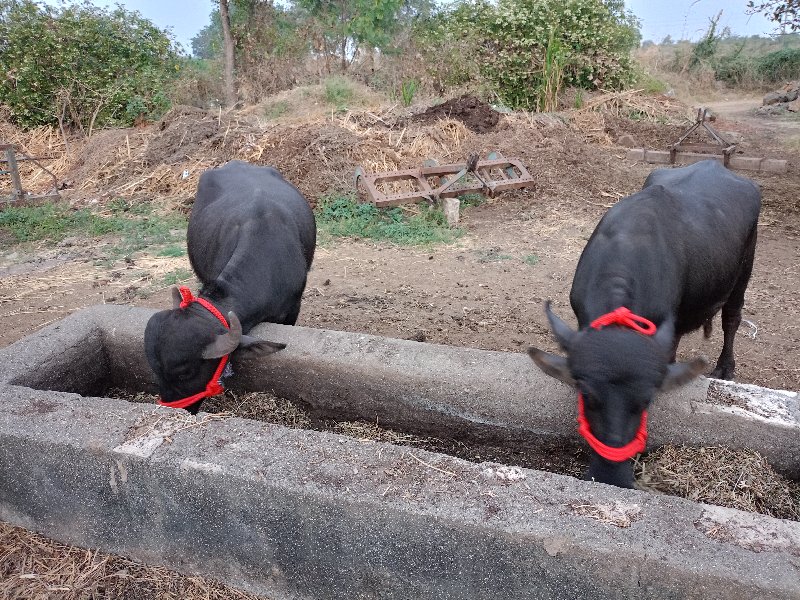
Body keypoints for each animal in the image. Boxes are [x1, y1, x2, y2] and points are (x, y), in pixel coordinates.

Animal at [528, 159, 760, 488]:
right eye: (586, 394)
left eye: (647, 399)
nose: (611, 476)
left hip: (743, 273)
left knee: (732, 318)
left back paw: (725, 368)